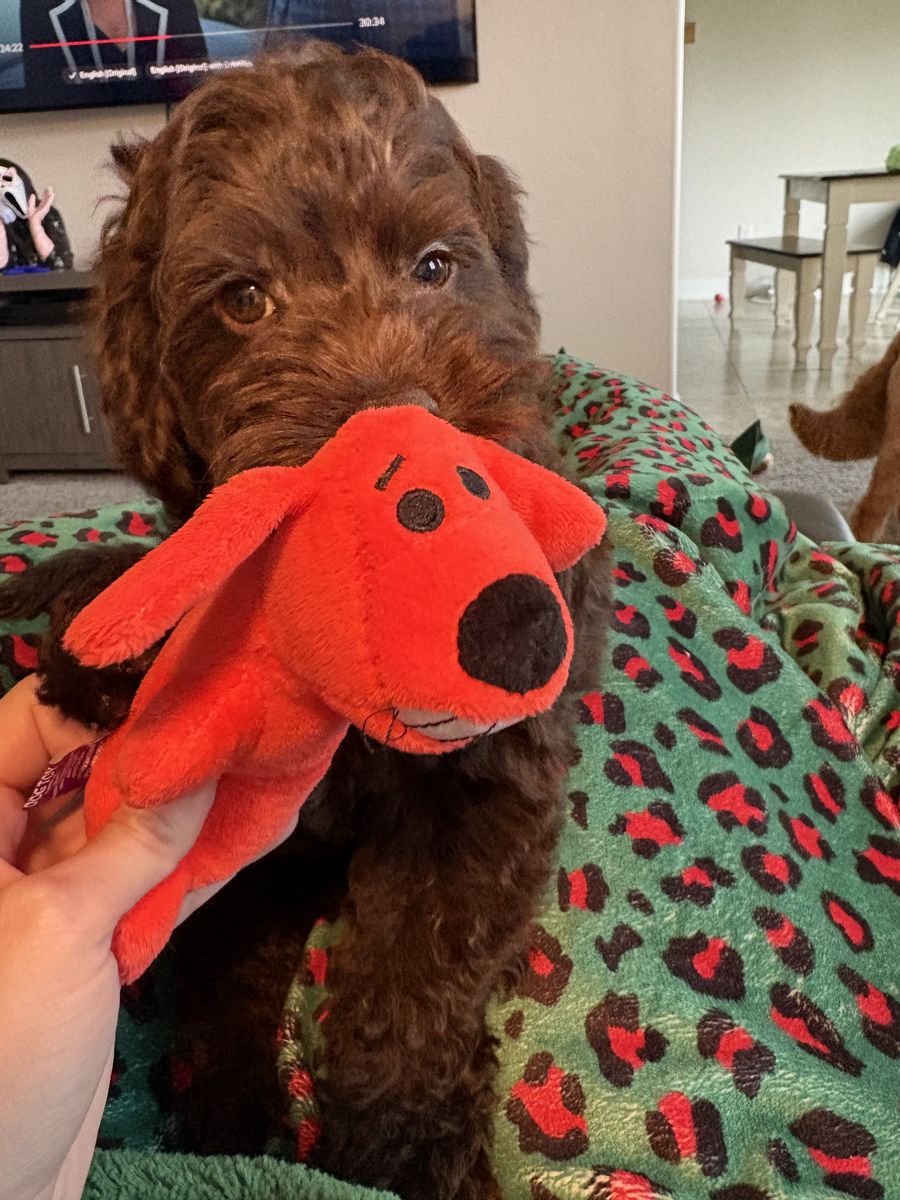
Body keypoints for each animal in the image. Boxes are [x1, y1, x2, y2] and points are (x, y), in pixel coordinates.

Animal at [0, 42, 610, 1199]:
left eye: (434, 267)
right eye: (246, 300)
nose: (399, 442)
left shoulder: (488, 793)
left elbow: (414, 983)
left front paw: (400, 1150)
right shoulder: (255, 859)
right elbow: (223, 982)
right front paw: (236, 1127)